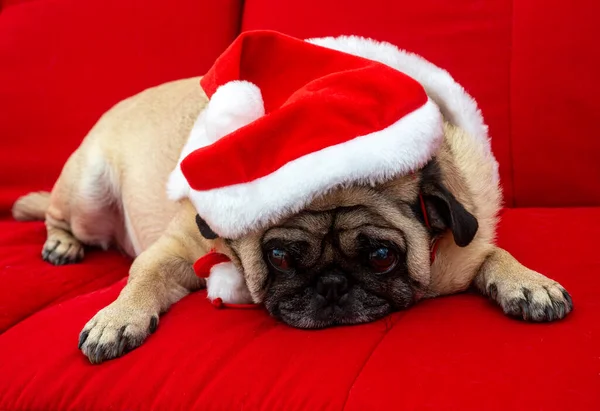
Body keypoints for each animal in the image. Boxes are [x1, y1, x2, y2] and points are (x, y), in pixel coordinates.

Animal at [10, 36, 572, 364]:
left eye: (382, 256)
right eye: (278, 256)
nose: (332, 285)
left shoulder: (461, 253)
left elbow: (493, 254)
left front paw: (526, 282)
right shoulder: (176, 247)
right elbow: (143, 274)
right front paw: (118, 315)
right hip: (87, 191)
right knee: (58, 216)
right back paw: (61, 244)